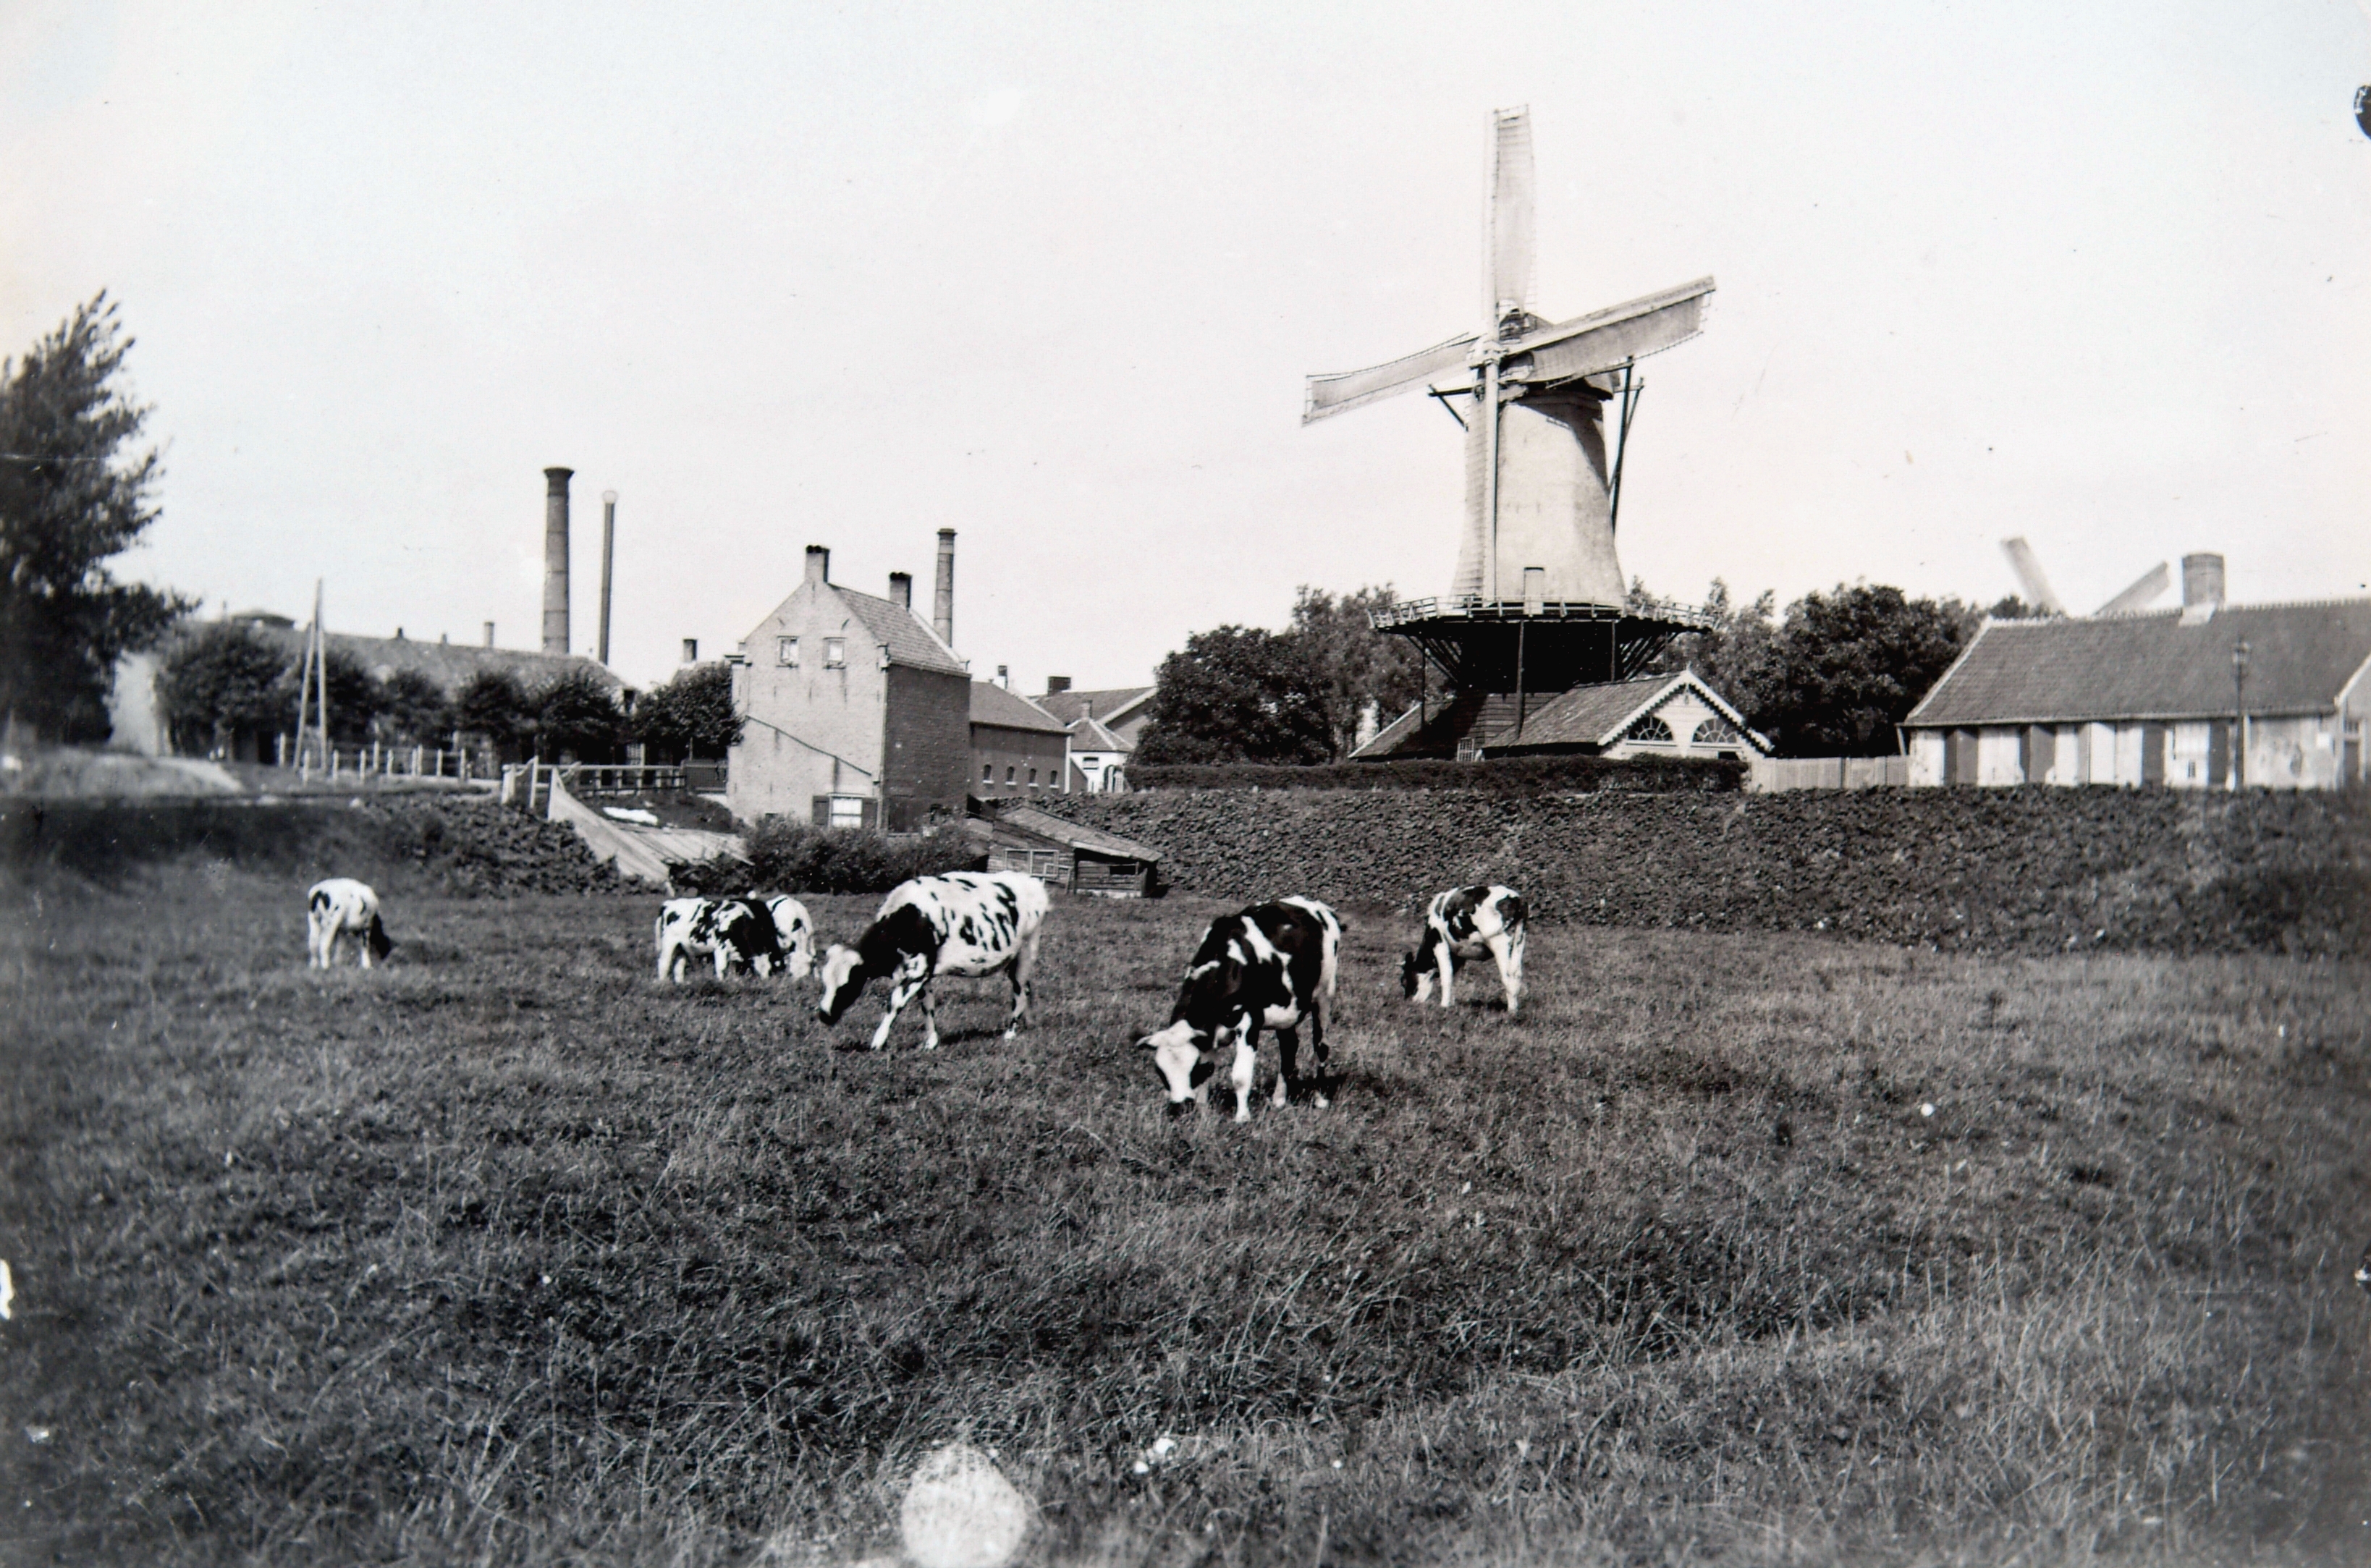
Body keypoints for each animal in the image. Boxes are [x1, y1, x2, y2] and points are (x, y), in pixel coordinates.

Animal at [655, 896, 787, 981]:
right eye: (757, 972)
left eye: (771, 971)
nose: (765, 983)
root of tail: (668, 904)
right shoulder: (721, 948)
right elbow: (721, 969)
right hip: (669, 943)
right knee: (664, 963)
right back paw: (663, 983)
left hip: (682, 947)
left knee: (678, 967)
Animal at [815, 872, 1050, 1050]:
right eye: (825, 983)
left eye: (848, 985)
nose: (824, 1015)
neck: (912, 918)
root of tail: (1030, 879)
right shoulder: (923, 973)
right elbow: (927, 1006)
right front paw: (931, 1043)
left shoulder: (919, 970)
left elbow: (894, 1003)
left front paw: (878, 1042)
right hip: (1014, 960)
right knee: (1026, 988)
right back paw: (1029, 1022)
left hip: (1027, 951)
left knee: (1018, 990)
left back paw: (1010, 1033)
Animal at [1138, 897, 1341, 1122]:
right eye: (1161, 1073)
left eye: (1193, 1071)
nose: (1179, 1110)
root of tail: (1320, 906)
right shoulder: (1207, 1033)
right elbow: (1210, 1069)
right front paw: (1203, 1111)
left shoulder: (1249, 1021)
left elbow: (1240, 1076)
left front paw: (1242, 1118)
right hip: (1287, 1009)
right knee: (1289, 1047)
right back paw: (1279, 1099)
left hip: (1324, 993)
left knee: (1320, 1046)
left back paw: (1320, 1098)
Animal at [1401, 884, 1526, 1016]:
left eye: (1404, 981)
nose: (1408, 1002)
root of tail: (1516, 897)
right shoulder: (1459, 954)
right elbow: (1454, 977)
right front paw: (1451, 1005)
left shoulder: (1439, 942)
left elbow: (1446, 976)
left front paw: (1444, 1006)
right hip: (1520, 939)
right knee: (1517, 974)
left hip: (1500, 942)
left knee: (1508, 976)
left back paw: (1511, 1012)